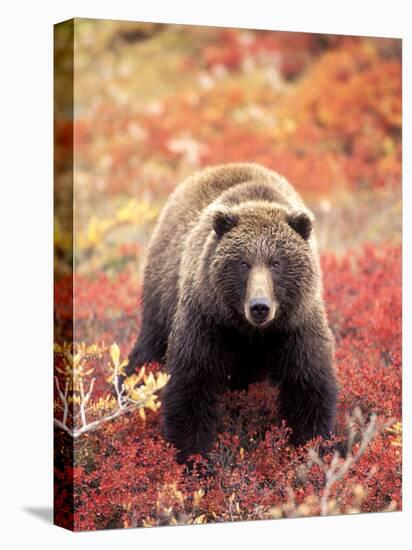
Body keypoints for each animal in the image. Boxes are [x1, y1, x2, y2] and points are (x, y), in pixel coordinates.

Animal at [124, 164, 336, 466]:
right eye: (243, 263)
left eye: (276, 262)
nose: (259, 306)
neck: (250, 332)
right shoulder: (208, 320)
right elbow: (192, 384)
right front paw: (195, 458)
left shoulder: (296, 325)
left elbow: (308, 385)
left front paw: (312, 449)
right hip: (162, 296)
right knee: (147, 350)